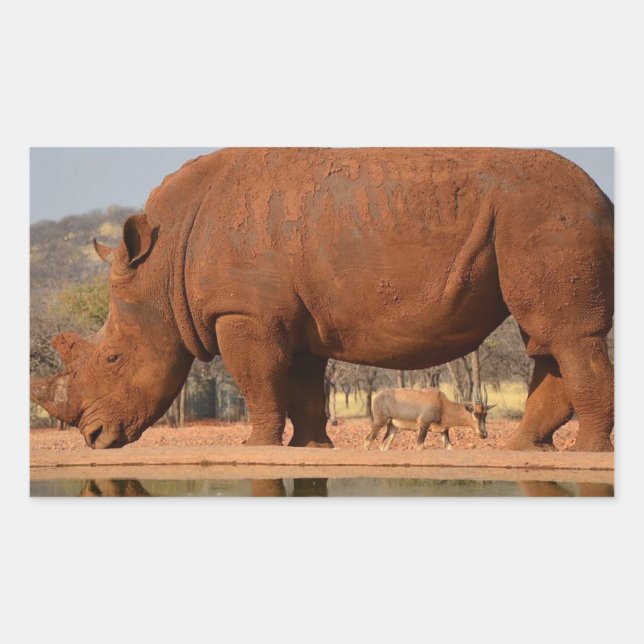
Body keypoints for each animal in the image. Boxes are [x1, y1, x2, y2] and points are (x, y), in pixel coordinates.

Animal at [30, 148, 614, 451]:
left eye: (113, 358)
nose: (93, 437)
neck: (162, 260)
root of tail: (603, 198)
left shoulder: (244, 313)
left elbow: (259, 383)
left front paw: (257, 448)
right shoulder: (290, 319)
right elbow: (303, 387)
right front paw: (310, 449)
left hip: (546, 215)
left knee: (566, 336)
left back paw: (584, 454)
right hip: (533, 218)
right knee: (545, 339)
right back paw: (527, 450)